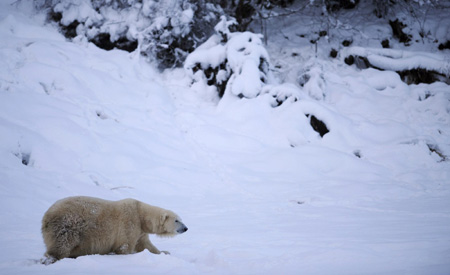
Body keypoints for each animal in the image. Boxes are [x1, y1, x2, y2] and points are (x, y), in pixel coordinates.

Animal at [39, 196, 185, 266]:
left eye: (180, 219)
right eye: (177, 220)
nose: (186, 228)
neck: (141, 214)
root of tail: (46, 216)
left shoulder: (140, 230)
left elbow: (145, 245)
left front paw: (164, 252)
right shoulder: (129, 222)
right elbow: (124, 246)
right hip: (69, 225)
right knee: (63, 243)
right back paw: (53, 258)